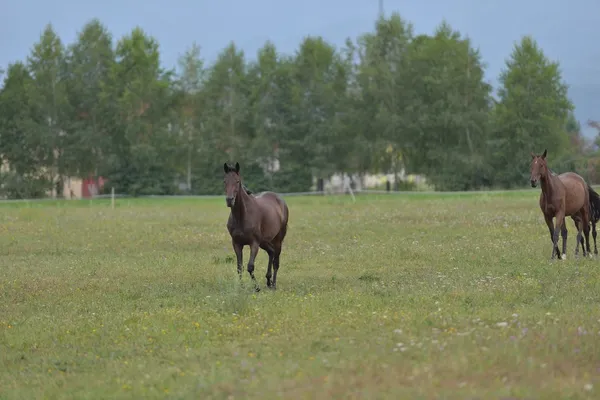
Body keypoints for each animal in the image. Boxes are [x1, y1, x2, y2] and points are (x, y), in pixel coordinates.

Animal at [225, 162, 290, 290]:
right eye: (225, 181)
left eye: (237, 181)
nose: (230, 200)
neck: (242, 216)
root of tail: (281, 200)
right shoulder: (236, 243)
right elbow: (239, 267)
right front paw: (241, 287)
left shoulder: (254, 243)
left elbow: (250, 266)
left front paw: (257, 287)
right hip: (264, 241)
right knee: (271, 252)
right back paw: (268, 280)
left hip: (278, 239)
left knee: (276, 261)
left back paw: (273, 285)